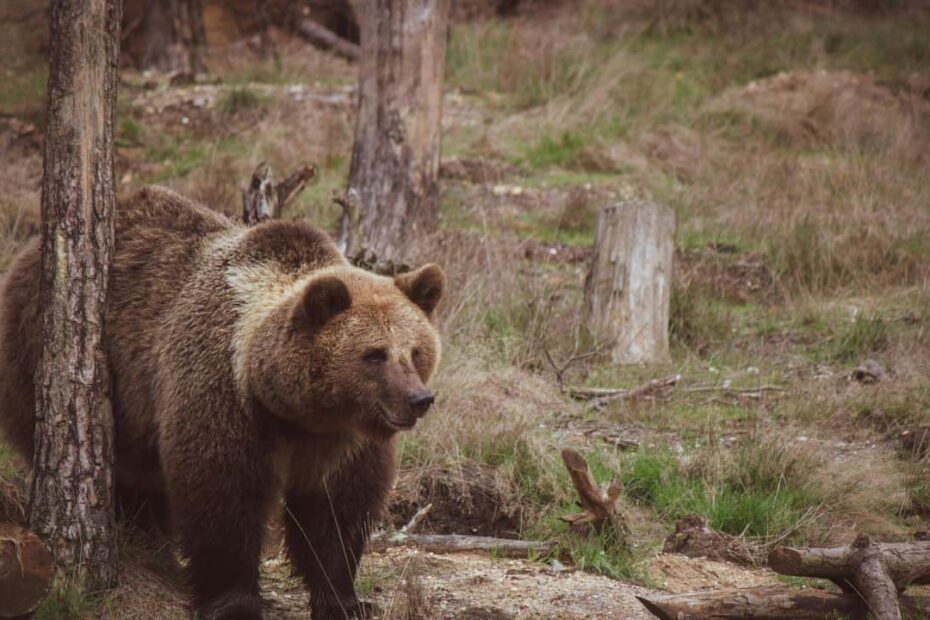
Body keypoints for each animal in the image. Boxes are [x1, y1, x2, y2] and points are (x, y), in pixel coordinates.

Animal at [0, 186, 445, 619]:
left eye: (416, 351)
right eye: (375, 354)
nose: (418, 399)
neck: (295, 411)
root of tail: (28, 252)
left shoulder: (342, 441)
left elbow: (337, 511)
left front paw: (345, 599)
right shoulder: (224, 397)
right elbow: (222, 496)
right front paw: (234, 601)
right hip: (52, 357)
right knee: (128, 471)